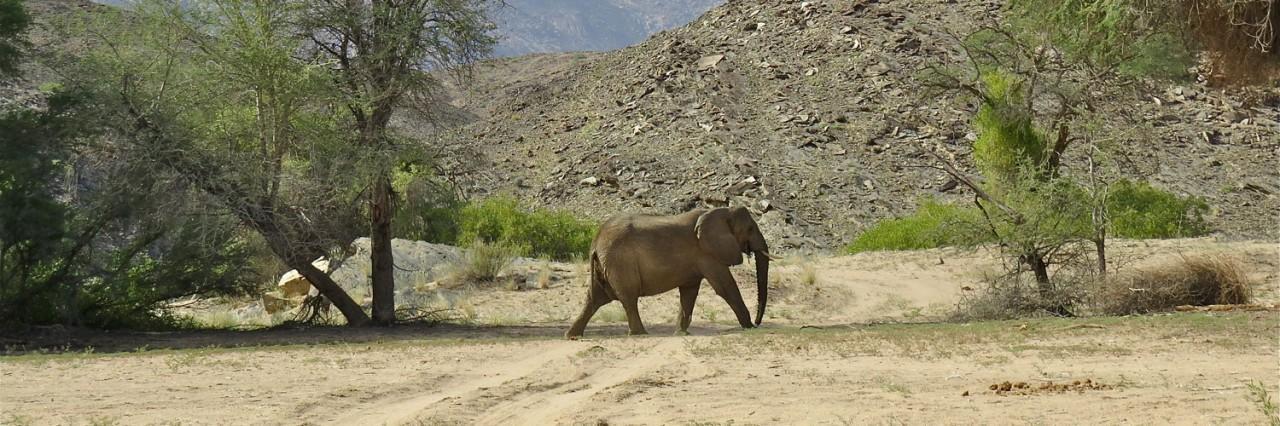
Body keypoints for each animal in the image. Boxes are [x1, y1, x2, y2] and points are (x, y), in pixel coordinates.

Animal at [568, 205, 768, 337]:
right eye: (750, 228)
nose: (758, 323)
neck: (720, 211)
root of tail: (596, 242)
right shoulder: (707, 253)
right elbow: (725, 287)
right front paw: (749, 327)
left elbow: (689, 292)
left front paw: (681, 333)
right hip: (620, 262)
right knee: (628, 298)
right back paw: (640, 334)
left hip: (606, 265)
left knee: (595, 298)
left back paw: (572, 336)